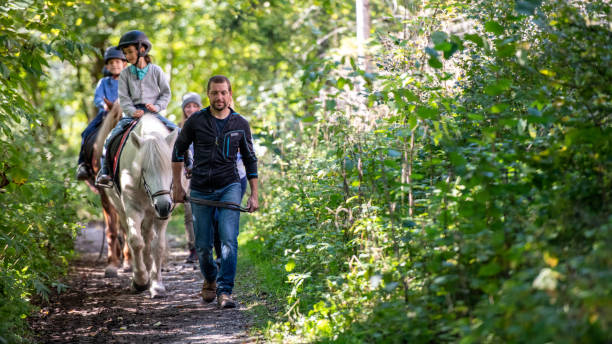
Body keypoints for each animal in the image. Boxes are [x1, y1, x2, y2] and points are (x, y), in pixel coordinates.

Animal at [105, 114, 176, 296]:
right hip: (120, 207)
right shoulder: (132, 208)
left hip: (152, 212)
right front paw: (140, 281)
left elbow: (157, 246)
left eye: (170, 168)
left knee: (148, 237)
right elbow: (136, 241)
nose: (163, 206)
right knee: (130, 234)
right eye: (144, 169)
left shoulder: (163, 213)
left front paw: (156, 285)